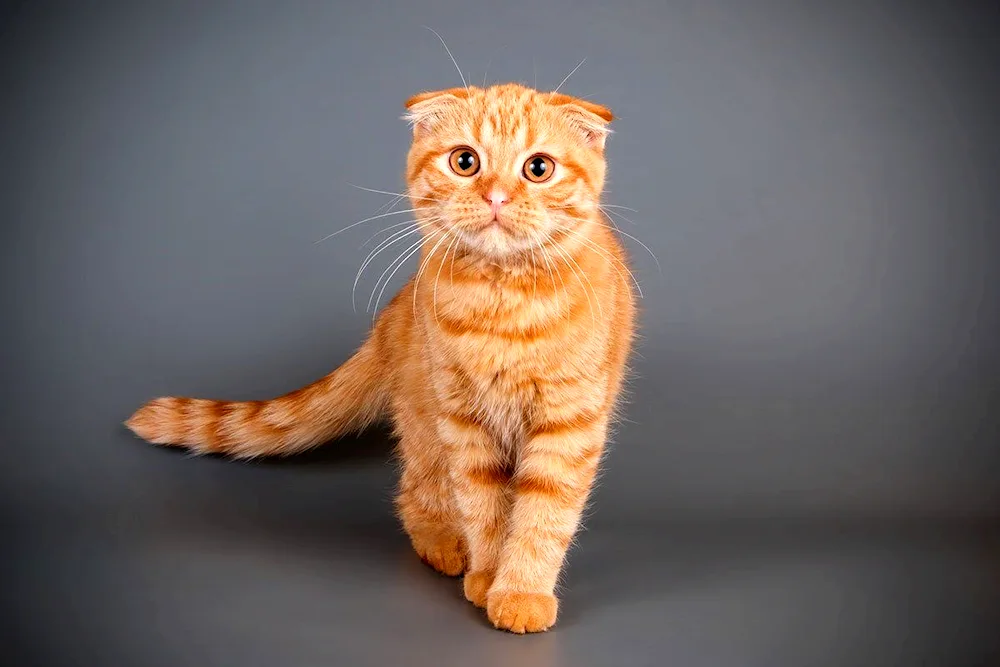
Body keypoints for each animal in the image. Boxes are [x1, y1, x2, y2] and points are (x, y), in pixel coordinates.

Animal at [129, 82, 636, 632]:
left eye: (538, 168)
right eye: (465, 162)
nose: (496, 197)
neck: (501, 305)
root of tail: (392, 315)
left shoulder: (568, 425)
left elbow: (543, 516)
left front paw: (521, 590)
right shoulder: (464, 423)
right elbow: (483, 507)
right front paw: (487, 577)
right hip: (426, 428)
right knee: (414, 496)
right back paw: (446, 547)